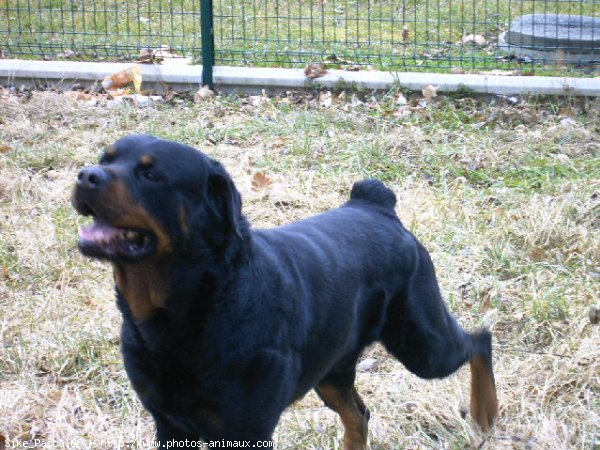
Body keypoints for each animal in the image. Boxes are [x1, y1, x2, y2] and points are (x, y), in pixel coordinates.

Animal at [72, 134, 500, 450]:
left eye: (151, 175)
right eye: (106, 159)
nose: (86, 175)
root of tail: (376, 205)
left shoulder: (246, 430)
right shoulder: (169, 424)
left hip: (421, 343)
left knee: (478, 340)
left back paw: (485, 412)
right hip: (332, 367)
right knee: (358, 415)